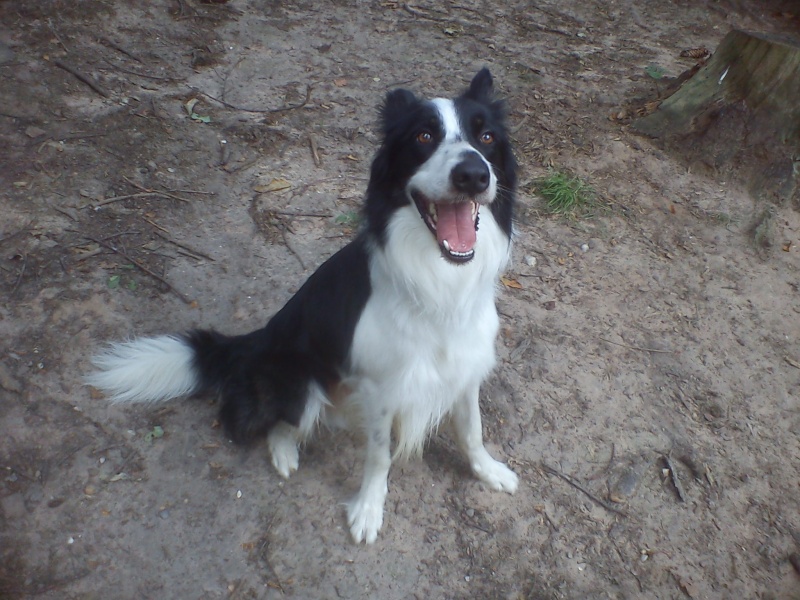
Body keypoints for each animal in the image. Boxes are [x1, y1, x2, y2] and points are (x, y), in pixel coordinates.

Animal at [86, 69, 512, 544]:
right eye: (424, 136)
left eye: (487, 136)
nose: (474, 174)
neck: (440, 284)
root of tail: (254, 343)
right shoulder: (382, 389)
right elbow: (379, 456)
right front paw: (368, 509)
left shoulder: (465, 368)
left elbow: (472, 430)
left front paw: (487, 471)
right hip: (299, 382)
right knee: (276, 422)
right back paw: (285, 453)